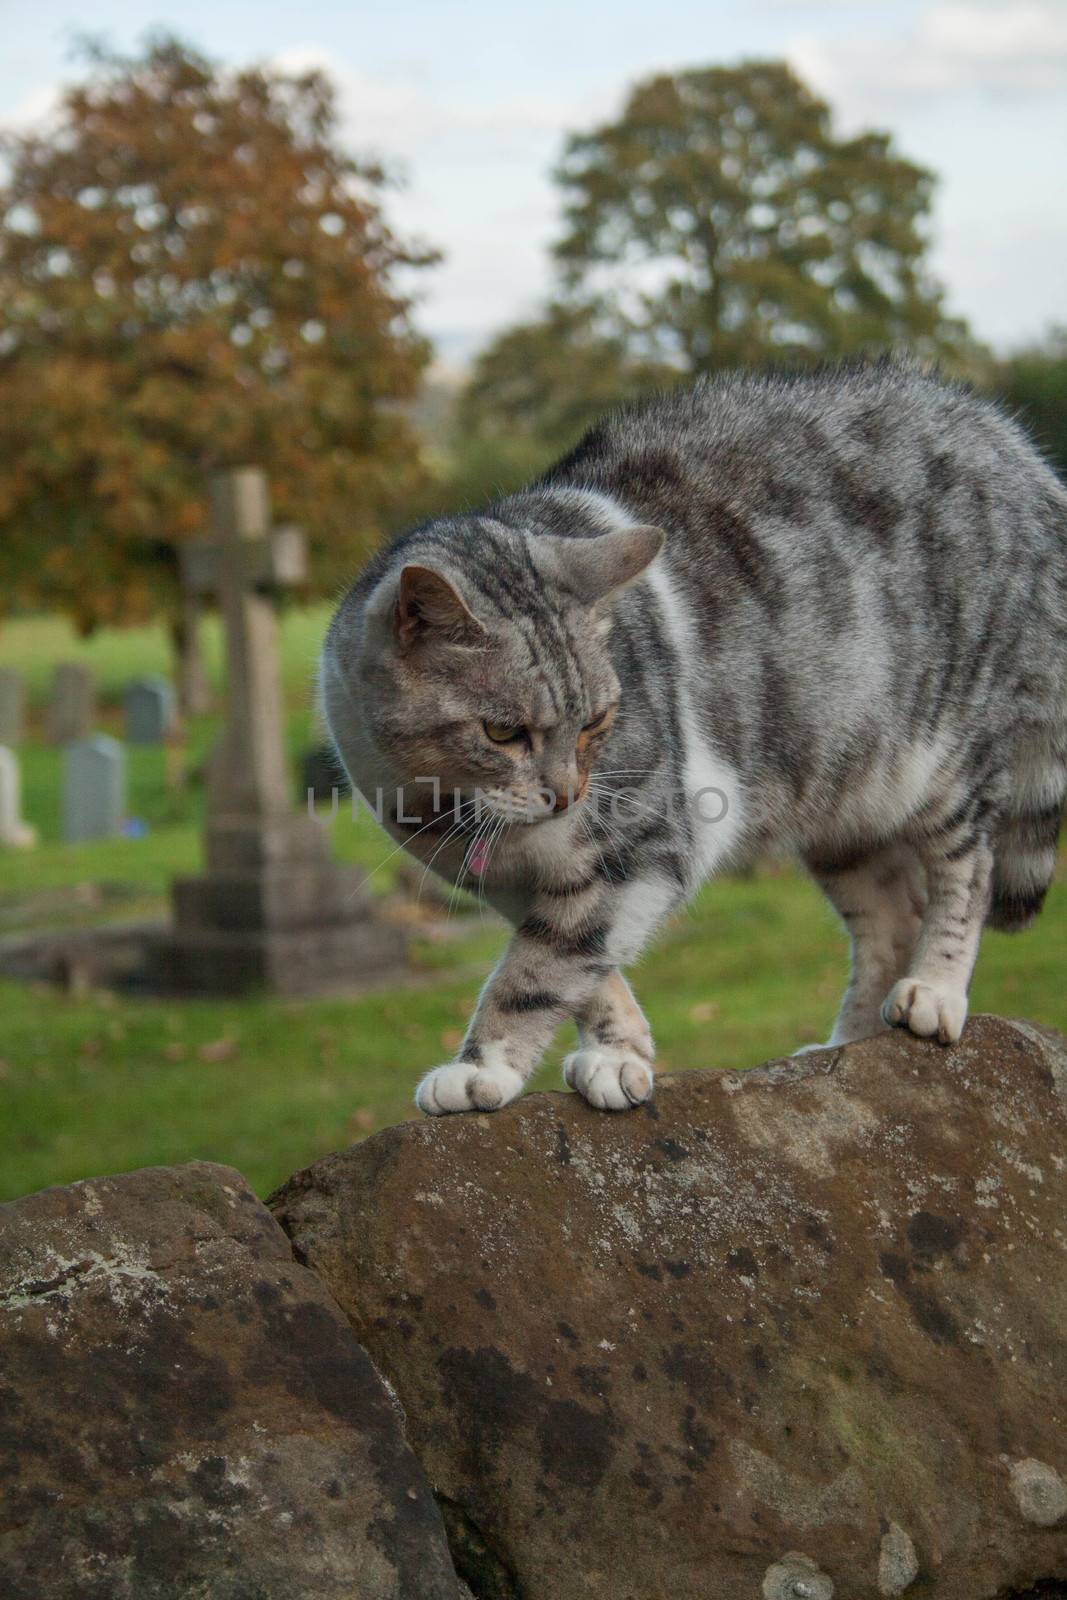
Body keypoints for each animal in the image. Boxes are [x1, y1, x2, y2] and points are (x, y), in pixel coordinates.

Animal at [323, 361, 1067, 1113]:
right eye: (502, 731)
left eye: (595, 721)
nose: (565, 796)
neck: (451, 810)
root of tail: (1007, 439)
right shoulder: (515, 885)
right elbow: (581, 965)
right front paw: (618, 1050)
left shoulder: (644, 844)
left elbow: (538, 968)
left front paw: (481, 1067)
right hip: (844, 797)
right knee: (891, 916)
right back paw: (844, 1047)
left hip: (946, 756)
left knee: (966, 870)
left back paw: (933, 993)